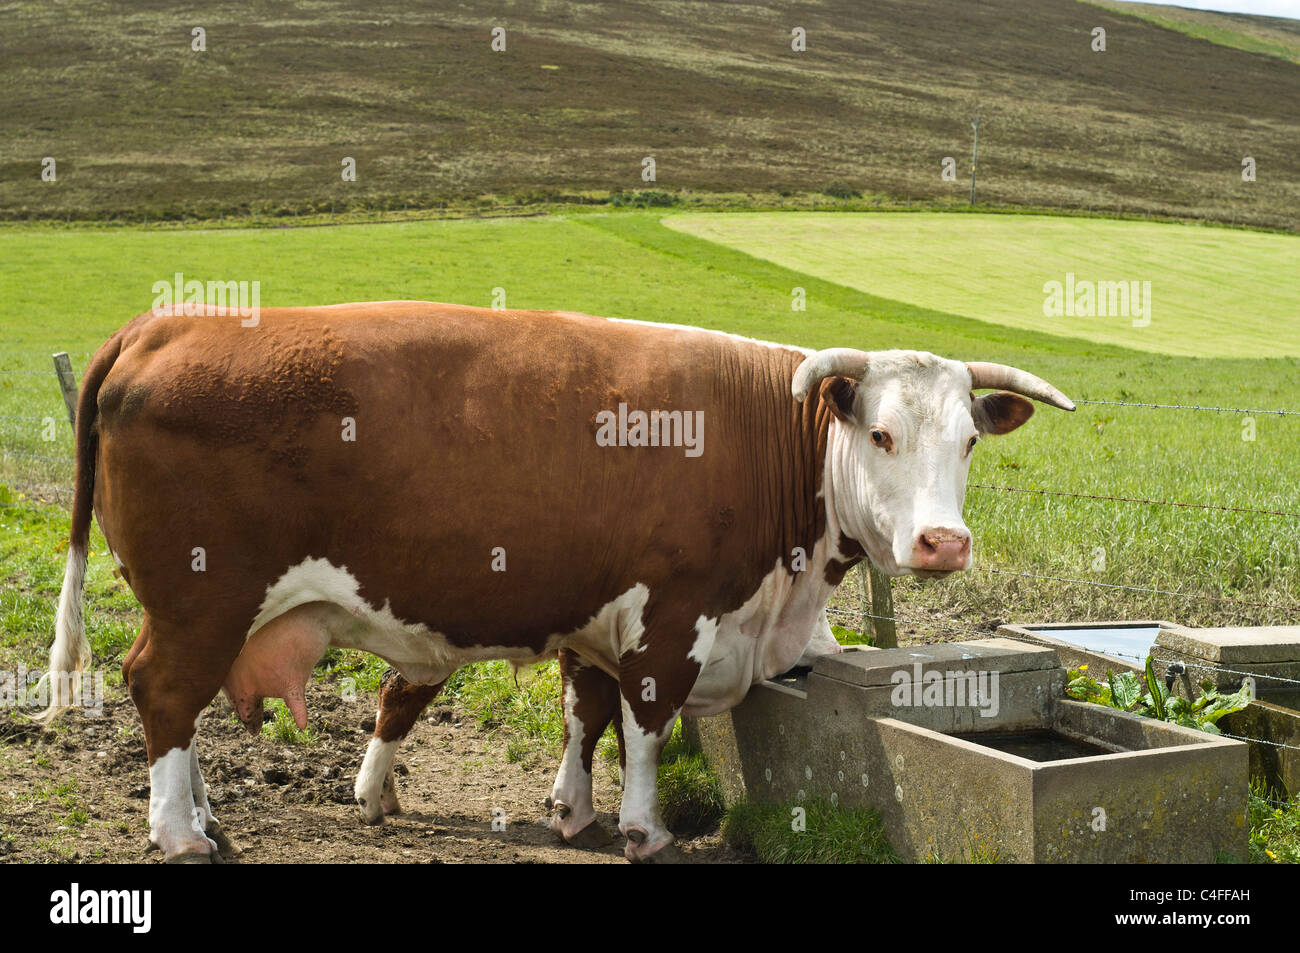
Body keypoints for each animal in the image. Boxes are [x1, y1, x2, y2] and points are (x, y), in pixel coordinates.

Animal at [38, 299, 1076, 863]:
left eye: (970, 439)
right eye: (882, 434)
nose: (943, 542)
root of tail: (161, 326)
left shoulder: (599, 611)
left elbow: (587, 708)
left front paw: (572, 811)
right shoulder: (673, 611)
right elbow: (647, 720)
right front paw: (643, 827)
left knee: (179, 702)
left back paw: (205, 816)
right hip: (202, 597)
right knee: (163, 689)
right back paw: (179, 832)